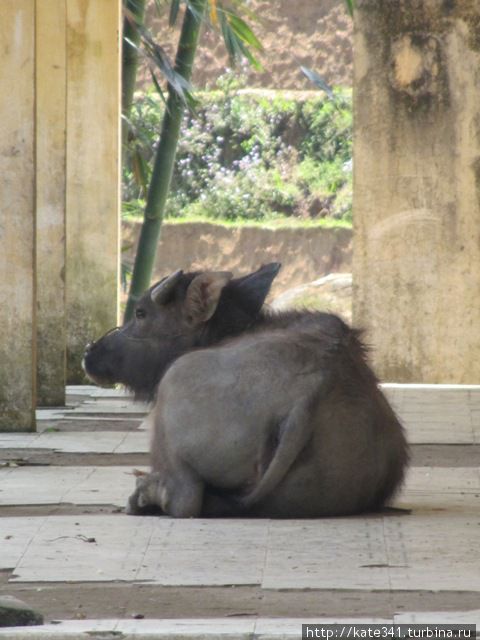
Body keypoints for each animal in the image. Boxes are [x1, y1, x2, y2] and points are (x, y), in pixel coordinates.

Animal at [84, 262, 406, 516]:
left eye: (141, 313)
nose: (90, 352)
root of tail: (312, 391)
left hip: (173, 383)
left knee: (185, 499)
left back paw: (142, 493)